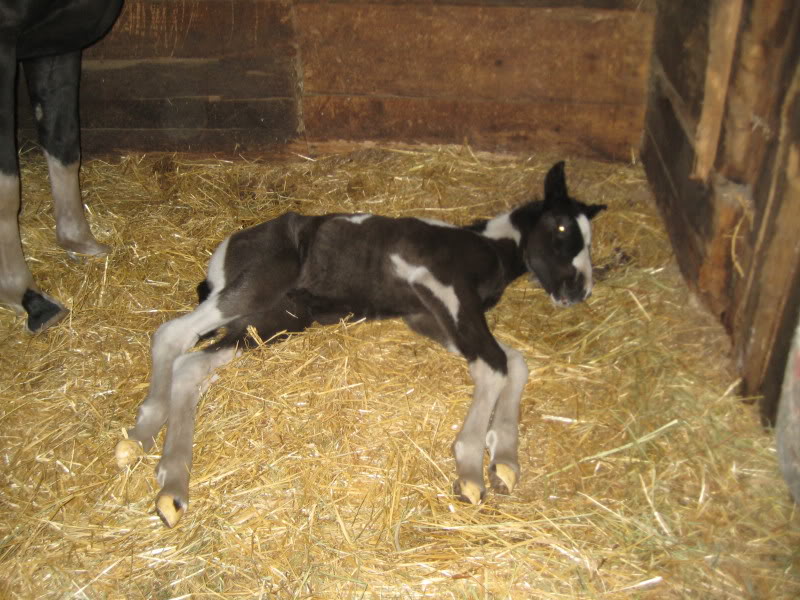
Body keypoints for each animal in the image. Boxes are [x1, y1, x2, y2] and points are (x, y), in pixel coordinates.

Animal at [115, 162, 608, 528]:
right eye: (561, 227)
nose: (579, 290)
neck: (485, 246)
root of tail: (223, 254)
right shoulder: (444, 290)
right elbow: (494, 365)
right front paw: (471, 466)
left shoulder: (429, 318)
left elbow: (513, 361)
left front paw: (503, 456)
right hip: (256, 286)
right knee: (173, 336)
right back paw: (153, 454)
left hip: (276, 320)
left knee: (193, 367)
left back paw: (158, 464)